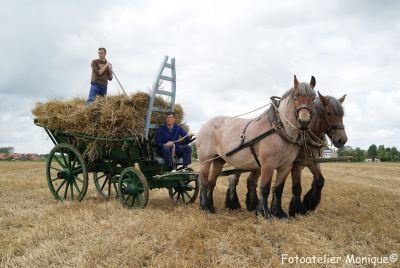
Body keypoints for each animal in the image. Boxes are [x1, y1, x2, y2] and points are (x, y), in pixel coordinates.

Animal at [196, 75, 316, 218]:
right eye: (296, 97)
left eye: (313, 98)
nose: (304, 122)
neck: (279, 129)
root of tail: (204, 125)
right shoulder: (267, 164)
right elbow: (264, 188)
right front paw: (263, 213)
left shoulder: (286, 166)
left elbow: (278, 189)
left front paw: (279, 213)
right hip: (205, 160)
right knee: (203, 181)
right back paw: (205, 207)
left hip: (218, 161)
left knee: (211, 182)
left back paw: (210, 206)